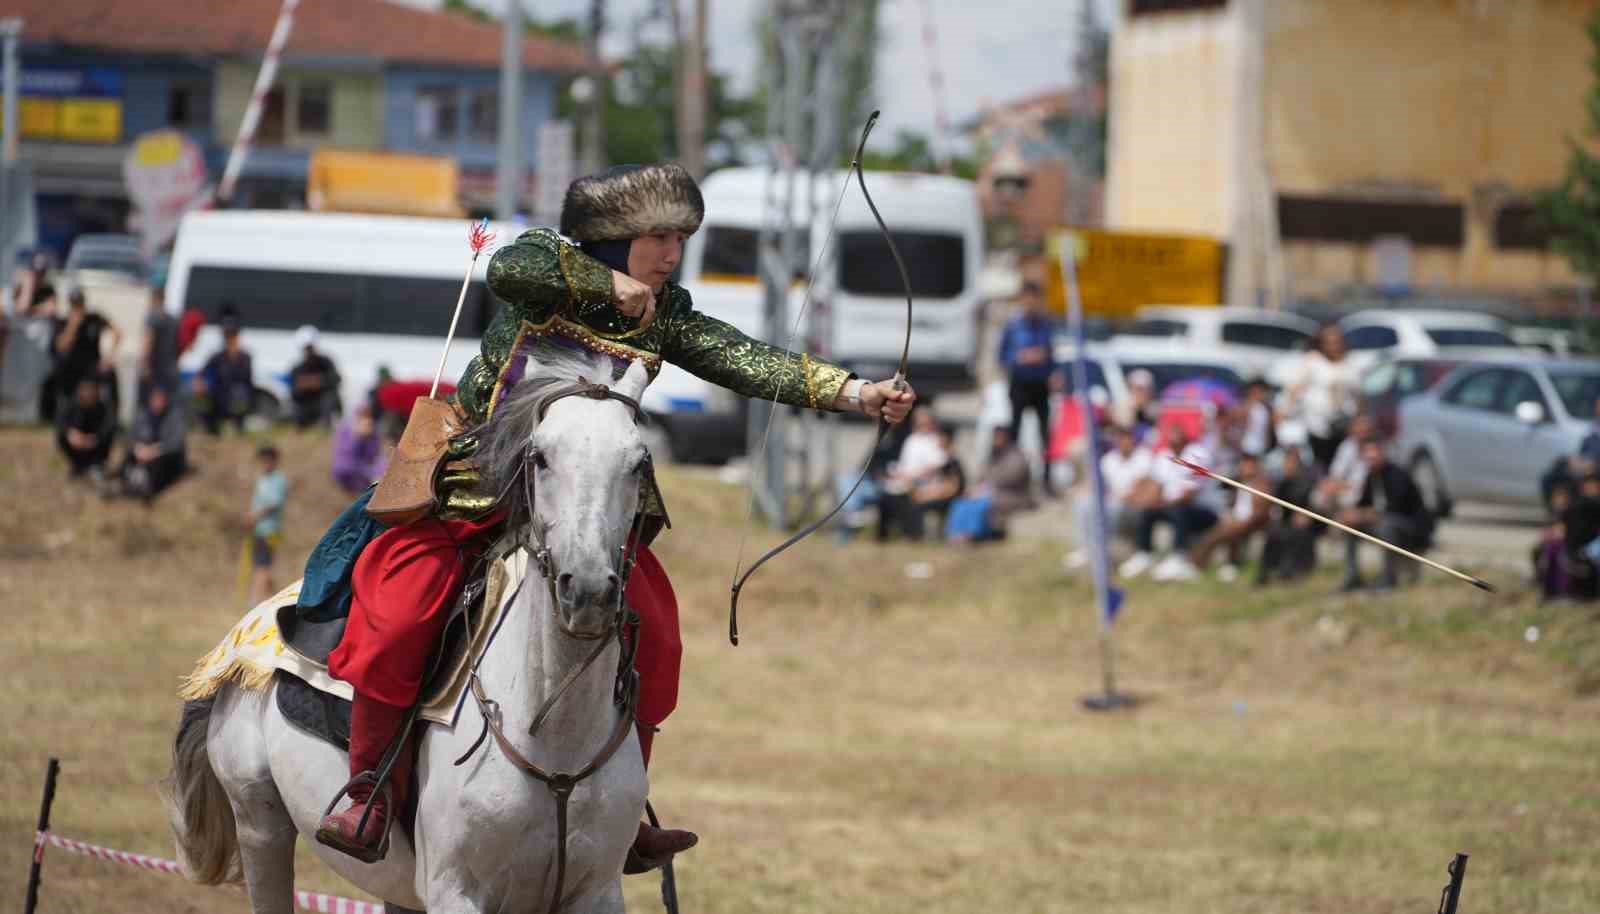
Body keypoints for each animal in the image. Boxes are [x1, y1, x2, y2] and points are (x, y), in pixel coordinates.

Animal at [162, 352, 656, 914]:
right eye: (541, 457)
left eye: (638, 462)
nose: (588, 590)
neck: (554, 742)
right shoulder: (455, 892)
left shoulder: (596, 893)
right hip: (259, 824)